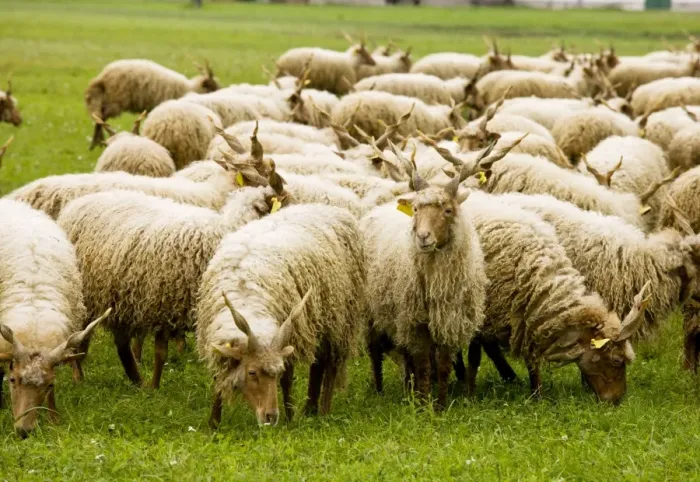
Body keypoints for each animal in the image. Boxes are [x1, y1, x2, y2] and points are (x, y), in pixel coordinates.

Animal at [57, 169, 285, 388]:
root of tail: (74, 205)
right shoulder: (165, 302)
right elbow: (161, 352)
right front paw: (156, 388)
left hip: (120, 294)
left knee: (120, 341)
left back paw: (136, 380)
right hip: (86, 293)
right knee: (81, 334)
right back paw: (79, 376)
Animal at [85, 59, 219, 149]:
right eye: (212, 86)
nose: (220, 92)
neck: (189, 88)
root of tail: (103, 76)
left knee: (99, 116)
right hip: (115, 100)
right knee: (101, 117)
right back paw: (95, 144)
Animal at [197, 204, 365, 427]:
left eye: (277, 373)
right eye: (252, 372)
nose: (271, 417)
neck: (245, 297)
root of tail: (328, 208)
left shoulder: (289, 332)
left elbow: (287, 381)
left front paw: (290, 418)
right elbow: (218, 380)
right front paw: (214, 423)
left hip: (340, 317)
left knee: (330, 364)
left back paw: (323, 411)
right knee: (318, 363)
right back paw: (310, 409)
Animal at [363, 151, 488, 408]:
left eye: (447, 210)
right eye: (416, 209)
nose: (423, 236)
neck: (436, 280)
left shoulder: (449, 321)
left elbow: (442, 366)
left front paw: (440, 405)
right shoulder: (416, 322)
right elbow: (423, 366)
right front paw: (422, 405)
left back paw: (408, 388)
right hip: (374, 313)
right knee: (375, 353)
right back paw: (381, 390)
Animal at [462, 191, 648, 403]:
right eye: (617, 360)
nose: (617, 400)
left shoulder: (527, 315)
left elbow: (531, 359)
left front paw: (537, 395)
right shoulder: (482, 313)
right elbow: (474, 357)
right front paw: (470, 395)